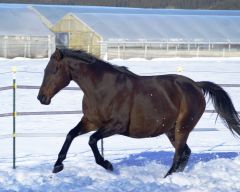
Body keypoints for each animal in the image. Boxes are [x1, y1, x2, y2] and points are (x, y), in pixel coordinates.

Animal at [37, 48, 240, 178]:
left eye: (53, 70)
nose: (41, 98)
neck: (101, 88)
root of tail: (196, 85)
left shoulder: (115, 126)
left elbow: (92, 140)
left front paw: (108, 165)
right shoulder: (91, 122)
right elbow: (71, 134)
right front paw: (57, 166)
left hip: (182, 127)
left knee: (179, 154)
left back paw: (166, 178)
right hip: (170, 129)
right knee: (185, 153)